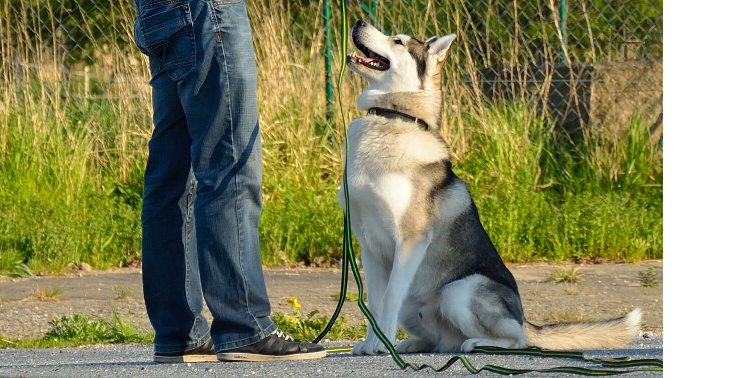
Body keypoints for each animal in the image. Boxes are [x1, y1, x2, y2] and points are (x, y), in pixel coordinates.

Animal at [336, 19, 636, 356]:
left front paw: (382, 343)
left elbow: (388, 299)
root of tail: (524, 319)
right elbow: (374, 304)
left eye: (397, 41)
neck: (393, 118)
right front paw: (372, 343)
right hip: (418, 307)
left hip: (459, 290)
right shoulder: (369, 246)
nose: (359, 22)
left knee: (515, 339)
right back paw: (412, 344)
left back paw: (476, 343)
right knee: (440, 340)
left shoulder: (410, 241)